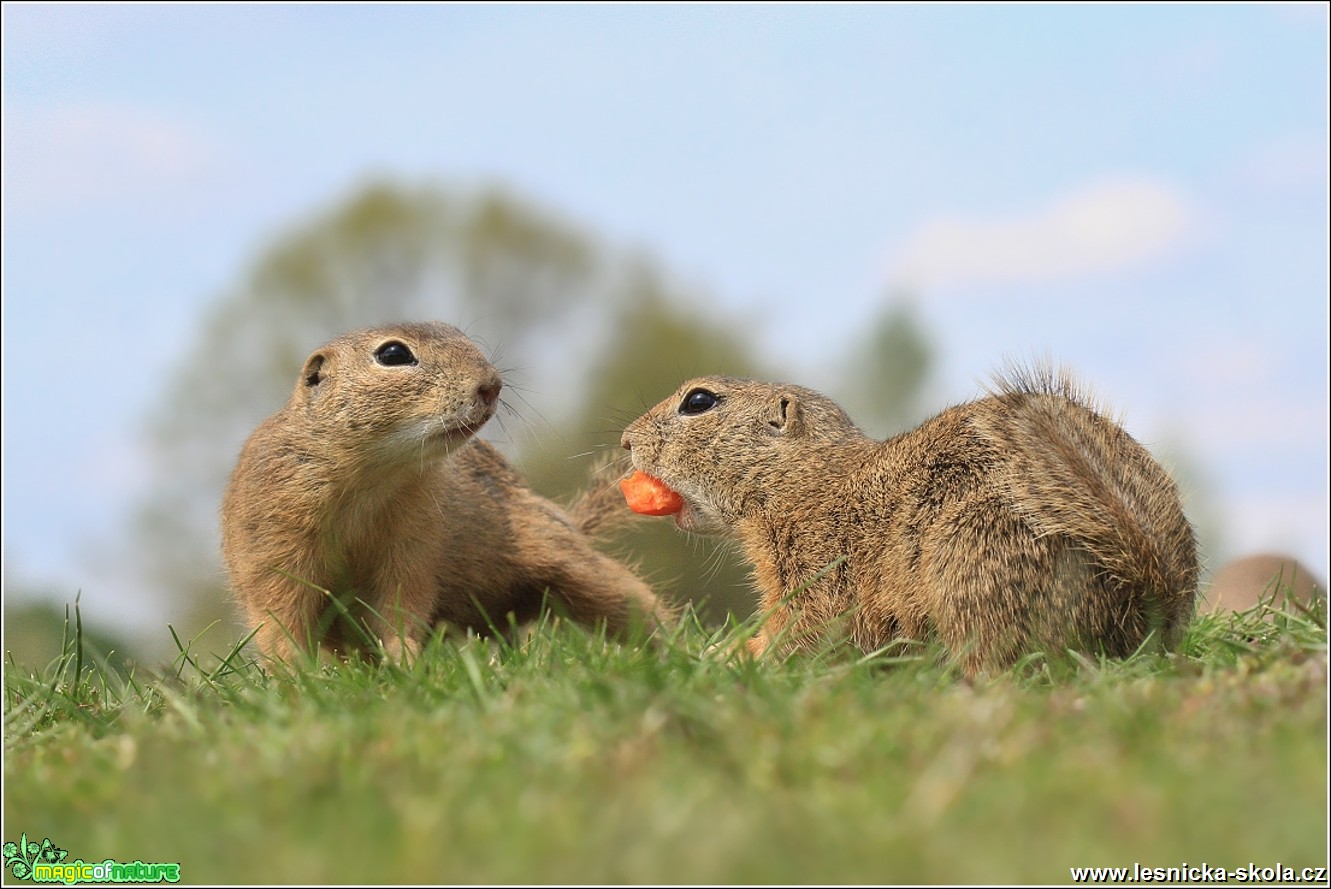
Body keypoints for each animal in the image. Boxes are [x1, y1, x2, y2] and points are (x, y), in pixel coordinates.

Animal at [224, 320, 676, 660]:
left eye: (459, 333)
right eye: (392, 354)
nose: (492, 384)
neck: (373, 477)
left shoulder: (412, 545)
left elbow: (401, 607)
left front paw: (404, 663)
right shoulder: (273, 544)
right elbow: (278, 620)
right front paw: (296, 679)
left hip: (560, 555)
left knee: (628, 598)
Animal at [617, 367, 1203, 673]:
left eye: (698, 400)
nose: (624, 440)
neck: (803, 479)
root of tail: (1145, 599)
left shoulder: (816, 570)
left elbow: (804, 634)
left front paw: (734, 658)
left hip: (968, 564)